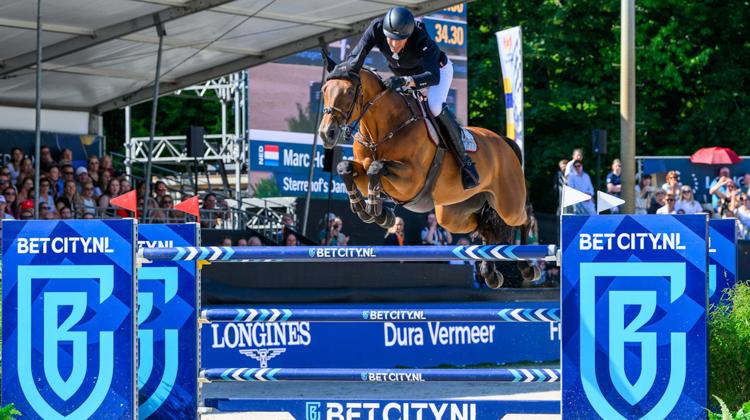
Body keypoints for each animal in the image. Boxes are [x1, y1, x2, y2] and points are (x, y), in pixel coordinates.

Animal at [320, 62, 536, 288]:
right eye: (324, 90)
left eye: (349, 91)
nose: (327, 134)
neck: (382, 130)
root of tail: (505, 142)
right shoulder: (364, 170)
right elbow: (345, 167)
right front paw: (368, 210)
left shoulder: (410, 180)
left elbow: (376, 168)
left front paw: (378, 213)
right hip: (453, 214)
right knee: (485, 228)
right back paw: (491, 274)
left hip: (508, 204)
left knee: (525, 219)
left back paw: (527, 267)